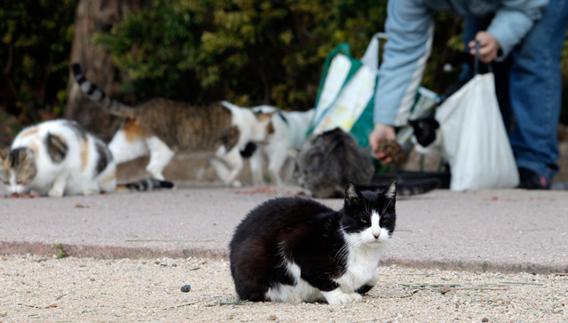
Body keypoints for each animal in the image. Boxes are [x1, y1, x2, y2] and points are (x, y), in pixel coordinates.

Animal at [0, 119, 171, 197]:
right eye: (6, 182)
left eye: (20, 180)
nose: (14, 192)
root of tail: (114, 181)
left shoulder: (68, 162)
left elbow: (61, 177)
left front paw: (55, 191)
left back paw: (88, 189)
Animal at [72, 64, 272, 187]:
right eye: (271, 130)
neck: (250, 119)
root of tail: (139, 108)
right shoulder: (227, 148)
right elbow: (237, 165)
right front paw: (232, 179)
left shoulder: (212, 154)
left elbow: (222, 170)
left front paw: (230, 182)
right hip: (165, 146)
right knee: (152, 167)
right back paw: (165, 183)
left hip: (132, 145)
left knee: (110, 153)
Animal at [229, 182, 398, 306]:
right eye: (364, 220)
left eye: (384, 220)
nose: (376, 234)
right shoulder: (294, 244)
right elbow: (319, 277)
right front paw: (338, 296)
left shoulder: (369, 274)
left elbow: (373, 278)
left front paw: (349, 293)